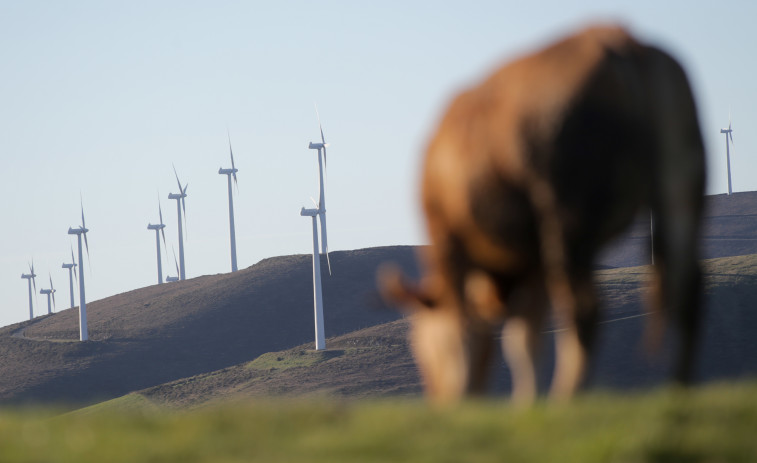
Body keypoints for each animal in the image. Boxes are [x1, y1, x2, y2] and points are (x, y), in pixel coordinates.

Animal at [380, 23, 704, 404]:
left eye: (420, 345)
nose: (439, 400)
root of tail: (616, 35)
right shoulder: (532, 260)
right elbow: (524, 339)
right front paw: (526, 404)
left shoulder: (447, 237)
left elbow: (468, 328)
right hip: (681, 188)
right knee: (687, 288)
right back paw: (679, 390)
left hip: (568, 215)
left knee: (584, 308)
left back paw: (568, 397)